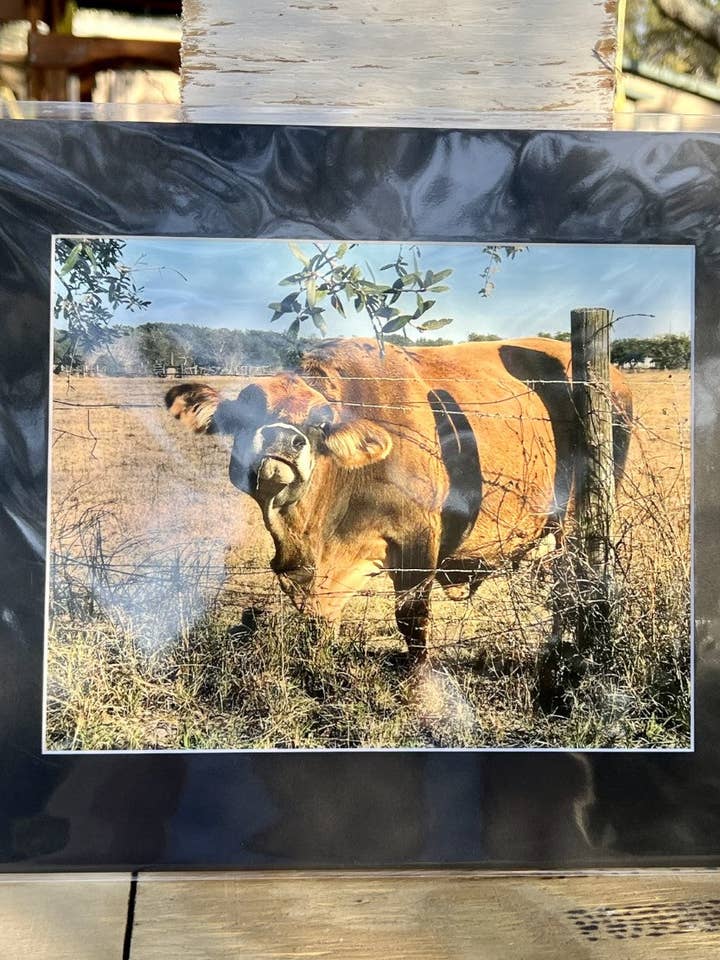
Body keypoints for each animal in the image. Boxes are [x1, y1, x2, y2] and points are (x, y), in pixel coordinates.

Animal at [165, 337, 632, 664]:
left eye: (321, 421)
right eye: (245, 412)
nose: (282, 440)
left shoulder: (418, 543)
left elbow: (412, 622)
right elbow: (320, 625)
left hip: (577, 524)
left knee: (570, 588)